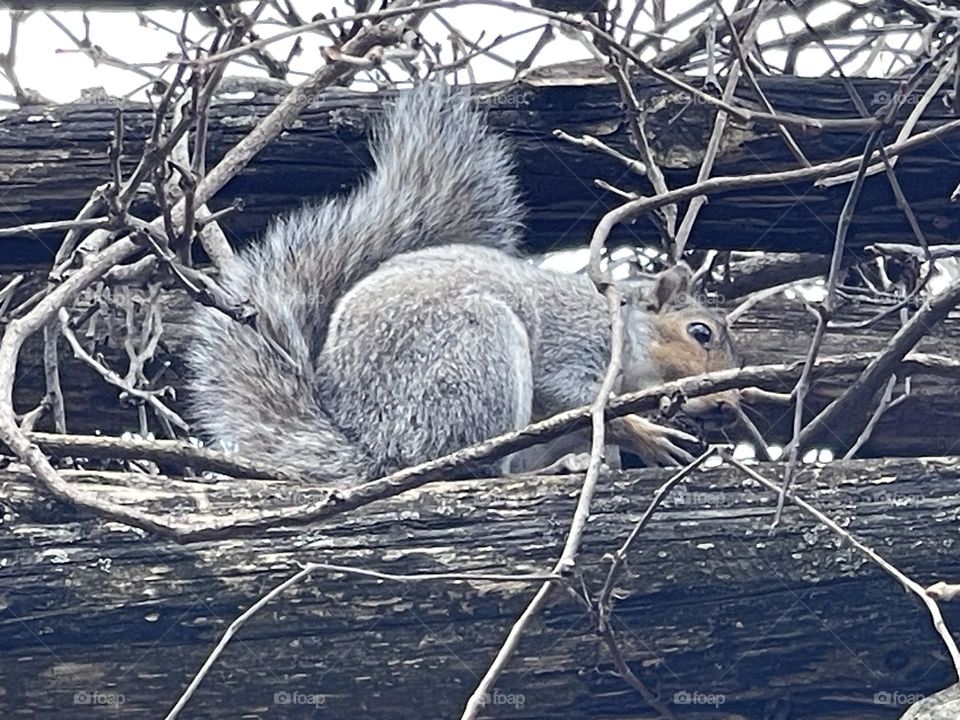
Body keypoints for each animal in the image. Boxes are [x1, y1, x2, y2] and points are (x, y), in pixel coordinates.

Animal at [187, 83, 739, 485]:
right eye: (700, 333)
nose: (729, 407)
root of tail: (376, 448)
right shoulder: (574, 345)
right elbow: (573, 399)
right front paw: (646, 434)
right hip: (473, 356)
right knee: (478, 466)